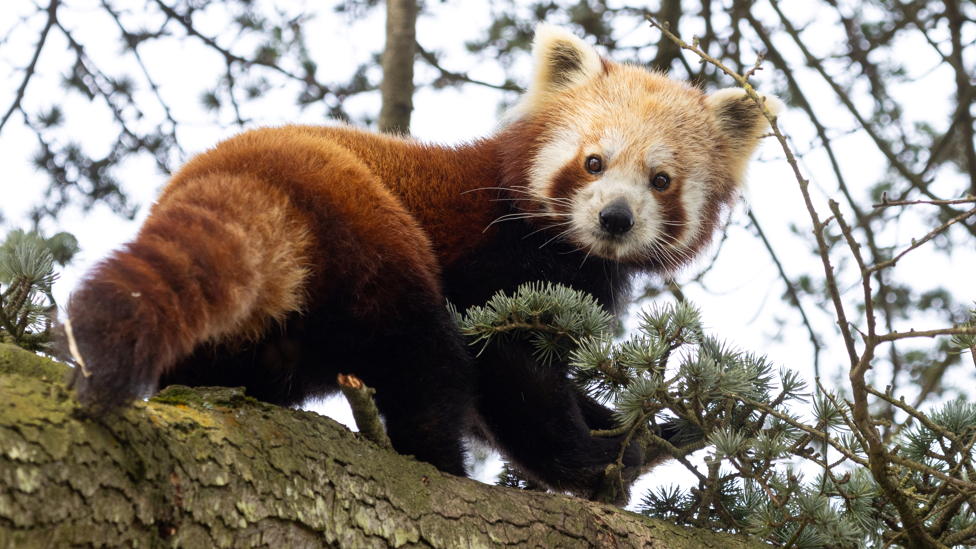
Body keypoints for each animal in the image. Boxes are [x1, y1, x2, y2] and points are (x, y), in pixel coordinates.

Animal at [65, 24, 780, 500]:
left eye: (660, 181)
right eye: (594, 163)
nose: (615, 218)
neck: (569, 251)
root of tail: (245, 171)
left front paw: (644, 430)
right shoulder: (497, 266)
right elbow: (510, 375)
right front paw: (599, 462)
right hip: (368, 226)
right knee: (424, 353)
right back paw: (440, 461)